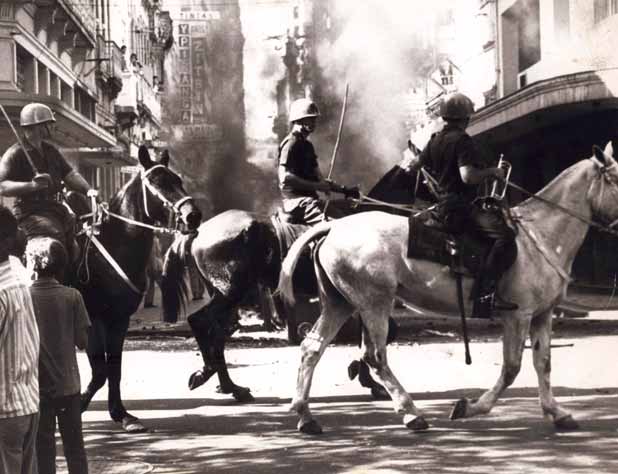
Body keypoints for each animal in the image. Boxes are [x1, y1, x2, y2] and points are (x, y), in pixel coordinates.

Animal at [280, 143, 616, 436]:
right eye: (617, 179)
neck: (541, 236)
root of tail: (334, 226)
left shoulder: (542, 315)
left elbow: (543, 364)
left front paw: (557, 413)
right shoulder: (517, 316)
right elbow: (512, 368)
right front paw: (471, 407)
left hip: (340, 303)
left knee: (312, 348)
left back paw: (306, 416)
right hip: (374, 304)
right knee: (375, 356)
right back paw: (411, 413)